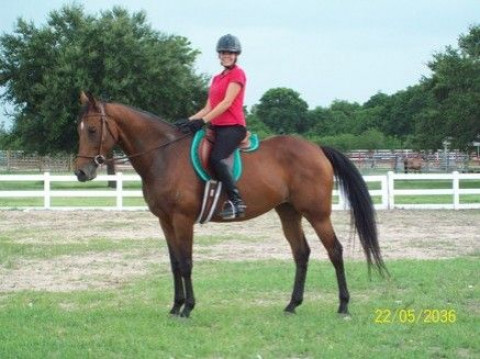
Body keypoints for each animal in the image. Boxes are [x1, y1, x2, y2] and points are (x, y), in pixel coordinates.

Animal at [76, 92, 390, 318]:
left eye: (91, 129)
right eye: (78, 129)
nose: (81, 172)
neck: (164, 155)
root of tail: (316, 148)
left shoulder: (182, 219)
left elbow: (186, 263)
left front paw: (188, 308)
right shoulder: (165, 221)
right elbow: (175, 264)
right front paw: (176, 306)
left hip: (317, 213)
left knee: (334, 251)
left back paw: (343, 305)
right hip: (288, 213)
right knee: (301, 253)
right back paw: (292, 305)